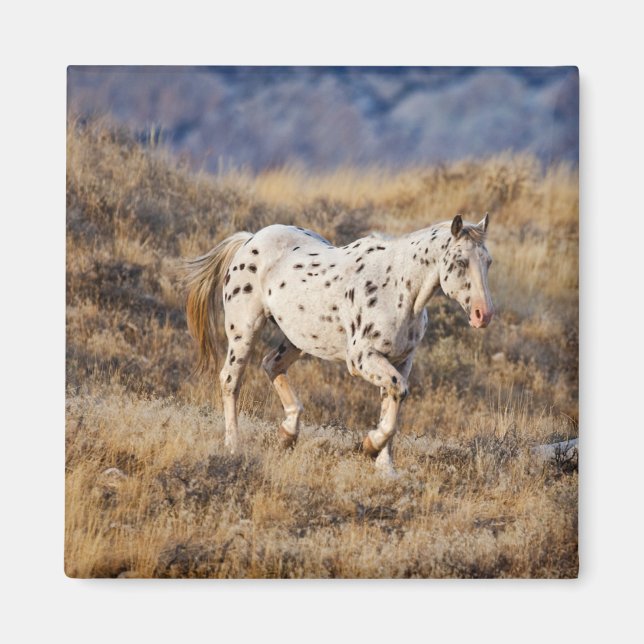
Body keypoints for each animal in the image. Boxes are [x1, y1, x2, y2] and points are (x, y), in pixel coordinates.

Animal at [185, 213, 494, 473]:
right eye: (460, 262)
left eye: (488, 262)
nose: (484, 314)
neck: (398, 287)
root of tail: (250, 240)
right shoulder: (362, 358)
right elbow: (398, 394)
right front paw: (370, 446)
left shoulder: (401, 361)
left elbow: (393, 402)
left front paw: (385, 467)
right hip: (243, 331)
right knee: (230, 380)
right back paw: (234, 446)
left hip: (297, 338)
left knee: (271, 365)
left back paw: (288, 434)